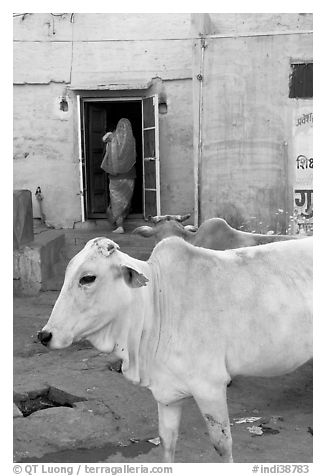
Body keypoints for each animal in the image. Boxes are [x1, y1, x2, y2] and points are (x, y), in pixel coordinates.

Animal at [38, 237, 314, 462]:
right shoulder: (167, 393)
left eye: (87, 278)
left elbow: (222, 445)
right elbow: (167, 442)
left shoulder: (210, 386)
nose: (44, 335)